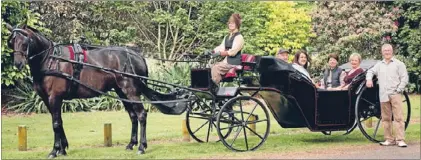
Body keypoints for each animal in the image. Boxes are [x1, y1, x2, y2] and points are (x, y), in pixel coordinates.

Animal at [6, 24, 159, 158]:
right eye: (12, 41)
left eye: (26, 41)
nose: (18, 64)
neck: (51, 59)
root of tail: (137, 56)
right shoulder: (47, 98)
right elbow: (59, 122)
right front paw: (62, 149)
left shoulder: (55, 97)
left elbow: (55, 124)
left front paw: (54, 150)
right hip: (121, 92)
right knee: (133, 116)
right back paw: (131, 144)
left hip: (131, 92)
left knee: (141, 115)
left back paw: (141, 147)